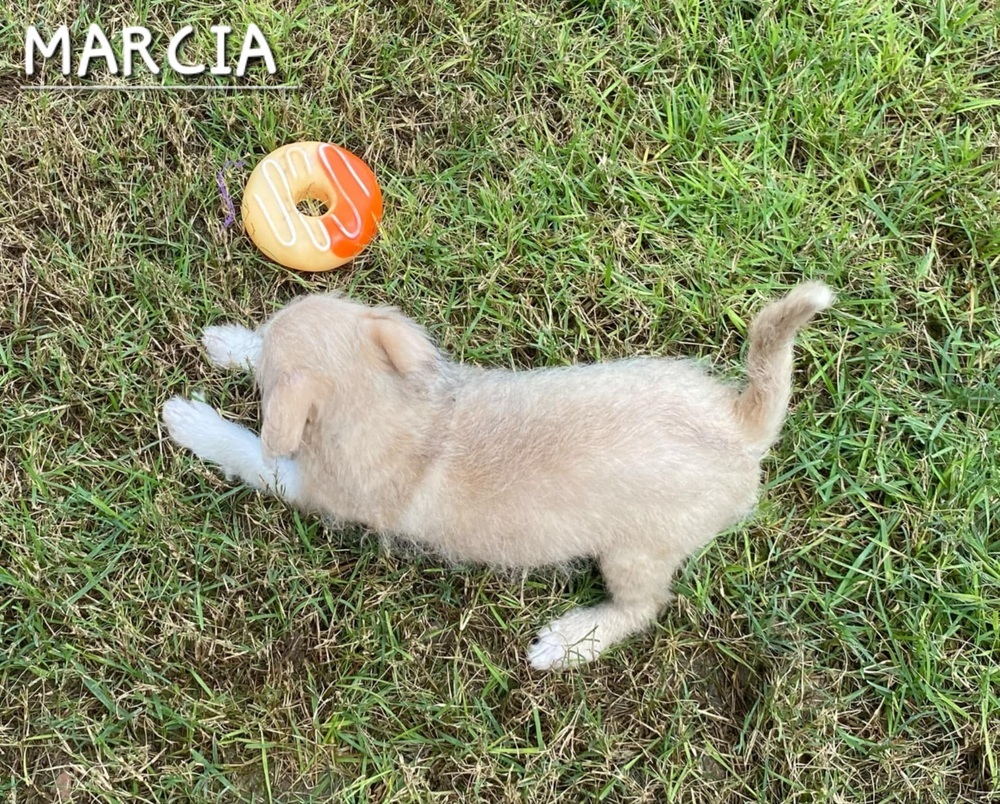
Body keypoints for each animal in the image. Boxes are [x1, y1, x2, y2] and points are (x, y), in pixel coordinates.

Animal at [166, 282, 836, 672]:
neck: (399, 406)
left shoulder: (305, 484)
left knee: (645, 607)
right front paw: (231, 343)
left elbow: (249, 451)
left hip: (636, 553)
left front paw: (193, 420)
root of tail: (741, 428)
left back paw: (571, 641)